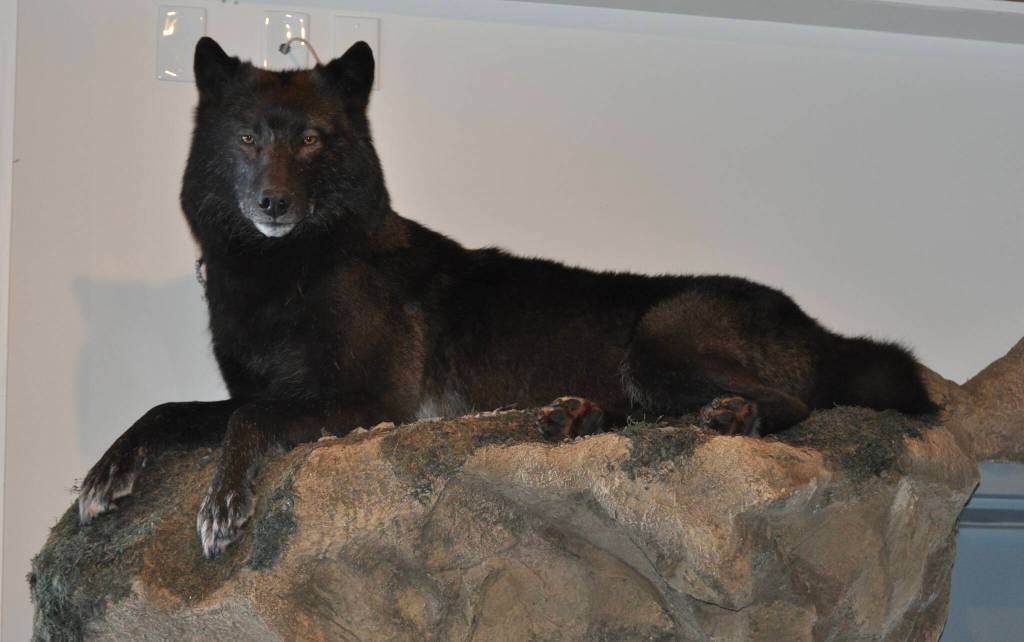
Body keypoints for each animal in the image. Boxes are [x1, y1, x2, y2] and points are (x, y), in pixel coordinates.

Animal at [78, 38, 937, 557]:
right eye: (250, 137)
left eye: (314, 138)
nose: (273, 205)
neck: (295, 266)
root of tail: (820, 328)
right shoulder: (262, 389)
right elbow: (173, 409)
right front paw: (105, 474)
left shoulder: (371, 400)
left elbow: (247, 420)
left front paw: (220, 504)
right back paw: (575, 416)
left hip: (663, 332)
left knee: (792, 405)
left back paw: (732, 416)